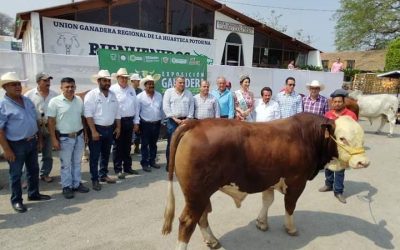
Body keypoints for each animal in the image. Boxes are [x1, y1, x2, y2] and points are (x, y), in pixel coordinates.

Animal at [161, 114, 370, 250]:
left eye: (362, 138)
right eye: (342, 138)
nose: (363, 162)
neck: (308, 136)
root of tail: (195, 123)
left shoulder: (269, 179)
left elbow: (267, 201)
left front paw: (261, 222)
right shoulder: (296, 181)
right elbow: (290, 206)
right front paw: (290, 228)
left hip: (201, 193)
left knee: (202, 216)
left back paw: (211, 240)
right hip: (196, 193)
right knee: (187, 222)